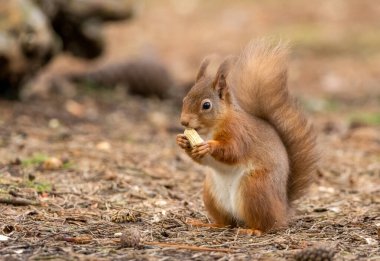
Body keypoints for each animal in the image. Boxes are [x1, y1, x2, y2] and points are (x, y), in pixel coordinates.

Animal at [177, 39, 320, 233]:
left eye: (206, 105)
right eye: (184, 99)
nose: (184, 122)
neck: (212, 129)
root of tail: (283, 209)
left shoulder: (240, 133)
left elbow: (233, 151)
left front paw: (210, 146)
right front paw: (182, 141)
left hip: (254, 189)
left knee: (266, 224)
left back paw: (253, 230)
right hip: (211, 193)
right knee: (226, 222)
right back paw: (208, 224)